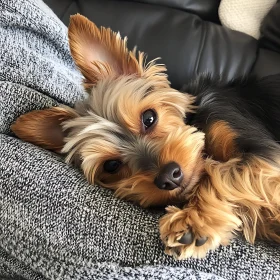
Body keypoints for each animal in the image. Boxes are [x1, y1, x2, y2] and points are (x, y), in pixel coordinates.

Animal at [10, 14, 280, 260]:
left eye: (149, 118)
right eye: (111, 165)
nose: (168, 177)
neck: (196, 121)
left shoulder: (255, 147)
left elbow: (222, 174)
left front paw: (191, 220)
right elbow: (218, 175)